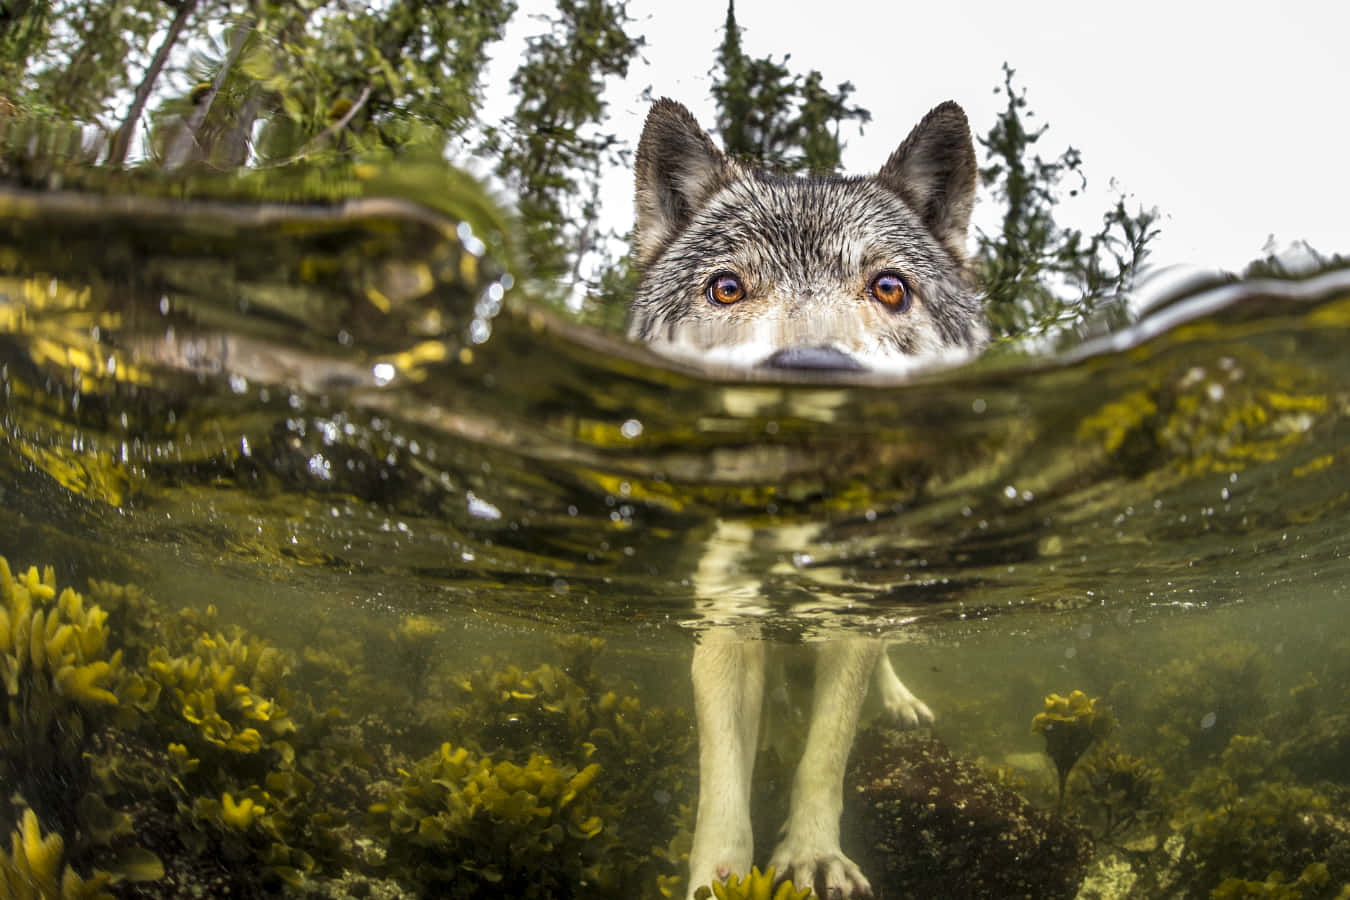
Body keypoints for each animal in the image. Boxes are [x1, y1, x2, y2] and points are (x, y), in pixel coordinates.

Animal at [626, 100, 988, 900]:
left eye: (889, 287)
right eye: (727, 288)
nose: (813, 372)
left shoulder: (848, 621)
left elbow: (825, 753)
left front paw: (813, 858)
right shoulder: (726, 626)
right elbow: (722, 780)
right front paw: (719, 878)